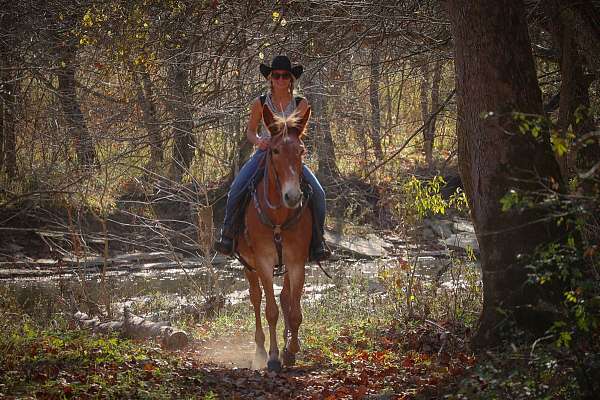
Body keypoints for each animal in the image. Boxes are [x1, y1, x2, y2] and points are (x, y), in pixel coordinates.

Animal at [234, 103, 312, 372]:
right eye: (275, 150)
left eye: (301, 150)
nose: (293, 196)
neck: (278, 215)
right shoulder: (264, 262)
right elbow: (271, 311)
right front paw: (274, 357)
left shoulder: (297, 262)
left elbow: (294, 310)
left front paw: (291, 351)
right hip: (249, 265)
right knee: (256, 298)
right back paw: (259, 350)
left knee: (285, 297)